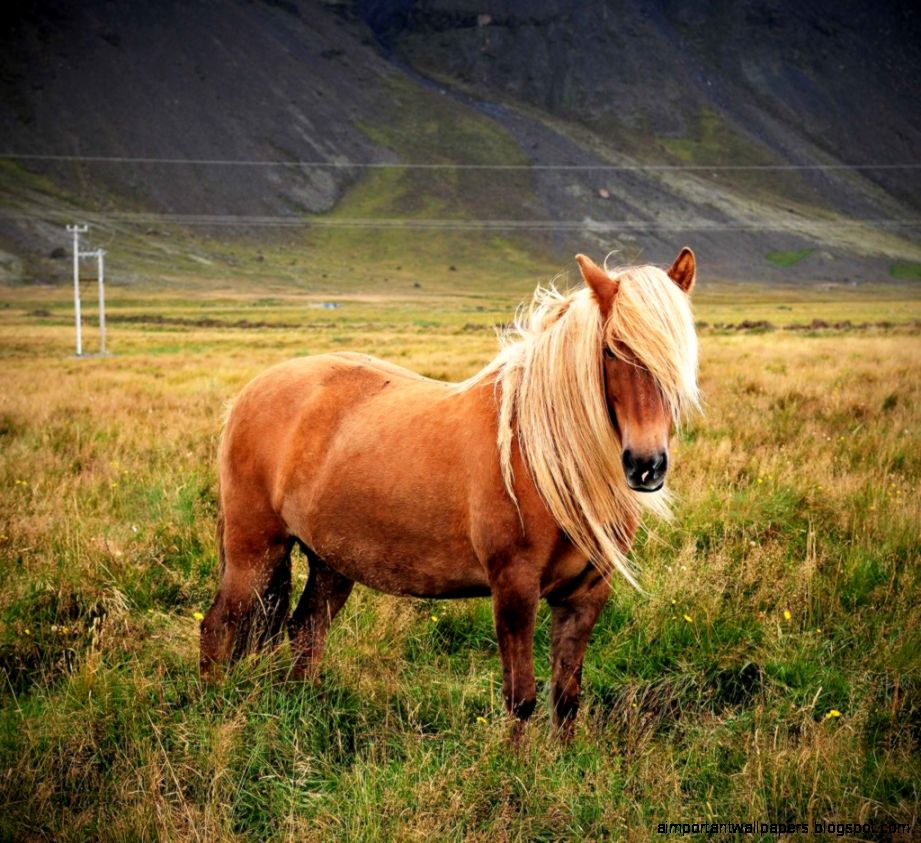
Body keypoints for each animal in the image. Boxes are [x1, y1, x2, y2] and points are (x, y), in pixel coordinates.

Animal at [200, 248, 699, 734]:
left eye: (682, 354)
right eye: (612, 350)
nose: (645, 465)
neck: (549, 459)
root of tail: (251, 392)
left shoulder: (586, 594)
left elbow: (566, 698)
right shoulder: (514, 588)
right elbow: (521, 699)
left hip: (330, 562)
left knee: (306, 631)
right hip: (254, 552)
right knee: (219, 627)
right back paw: (214, 711)